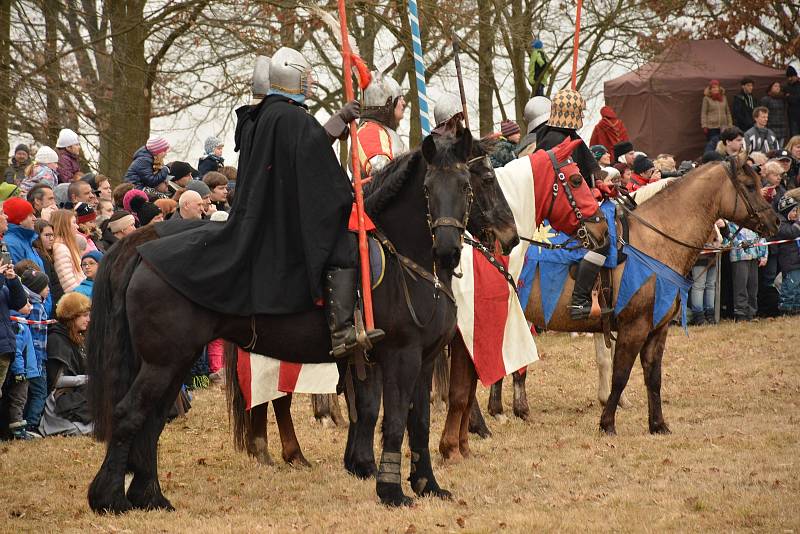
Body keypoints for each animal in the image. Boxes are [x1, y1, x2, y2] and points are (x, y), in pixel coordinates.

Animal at [86, 130, 512, 516]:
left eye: (466, 184)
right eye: (428, 188)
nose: (506, 234)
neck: (406, 259)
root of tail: (144, 249)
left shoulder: (420, 360)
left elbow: (415, 421)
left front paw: (426, 485)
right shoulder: (400, 356)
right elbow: (392, 420)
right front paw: (391, 491)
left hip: (175, 361)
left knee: (153, 420)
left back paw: (151, 497)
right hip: (163, 362)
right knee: (130, 415)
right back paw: (109, 499)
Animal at [440, 158, 780, 460]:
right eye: (750, 185)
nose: (775, 221)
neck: (653, 242)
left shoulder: (656, 331)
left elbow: (653, 377)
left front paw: (658, 425)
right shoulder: (634, 328)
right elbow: (620, 374)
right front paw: (607, 423)